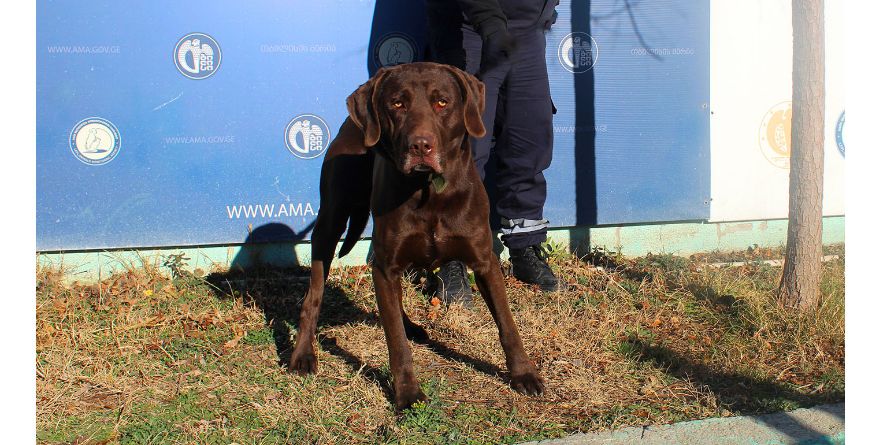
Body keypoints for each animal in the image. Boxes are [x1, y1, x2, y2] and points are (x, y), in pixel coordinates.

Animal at [288, 62, 544, 410]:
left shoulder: (485, 262)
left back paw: (410, 326)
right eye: (397, 103)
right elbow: (395, 342)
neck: (429, 190)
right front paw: (408, 393)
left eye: (442, 102)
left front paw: (523, 373)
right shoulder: (385, 265)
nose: (421, 146)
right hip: (330, 222)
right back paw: (303, 353)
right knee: (314, 294)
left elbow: (507, 323)